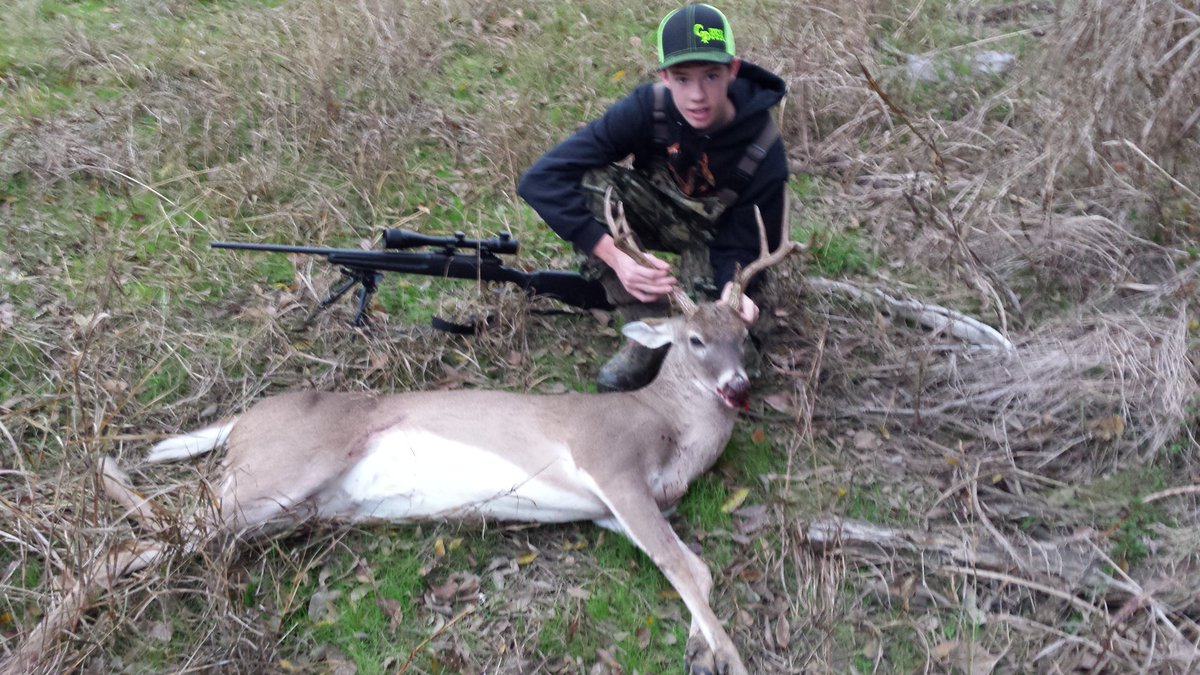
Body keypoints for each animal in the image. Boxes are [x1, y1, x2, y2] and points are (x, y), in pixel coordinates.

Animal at [3, 192, 800, 675]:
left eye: (745, 337)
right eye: (694, 339)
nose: (737, 387)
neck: (668, 431)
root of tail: (246, 418)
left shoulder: (619, 508)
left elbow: (690, 568)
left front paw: (702, 644)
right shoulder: (611, 465)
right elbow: (683, 567)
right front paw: (728, 655)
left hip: (282, 507)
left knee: (155, 532)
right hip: (278, 471)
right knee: (123, 545)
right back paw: (35, 645)